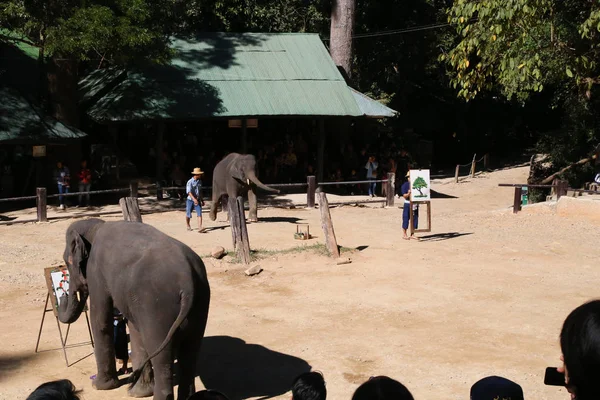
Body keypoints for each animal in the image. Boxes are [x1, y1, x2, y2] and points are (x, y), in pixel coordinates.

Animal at [56, 219, 211, 400]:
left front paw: (99, 386)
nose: (63, 295)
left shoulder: (96, 270)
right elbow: (134, 328)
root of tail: (188, 282)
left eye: (66, 261)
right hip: (200, 303)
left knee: (162, 357)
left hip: (158, 308)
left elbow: (100, 319)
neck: (97, 226)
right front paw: (138, 394)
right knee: (191, 352)